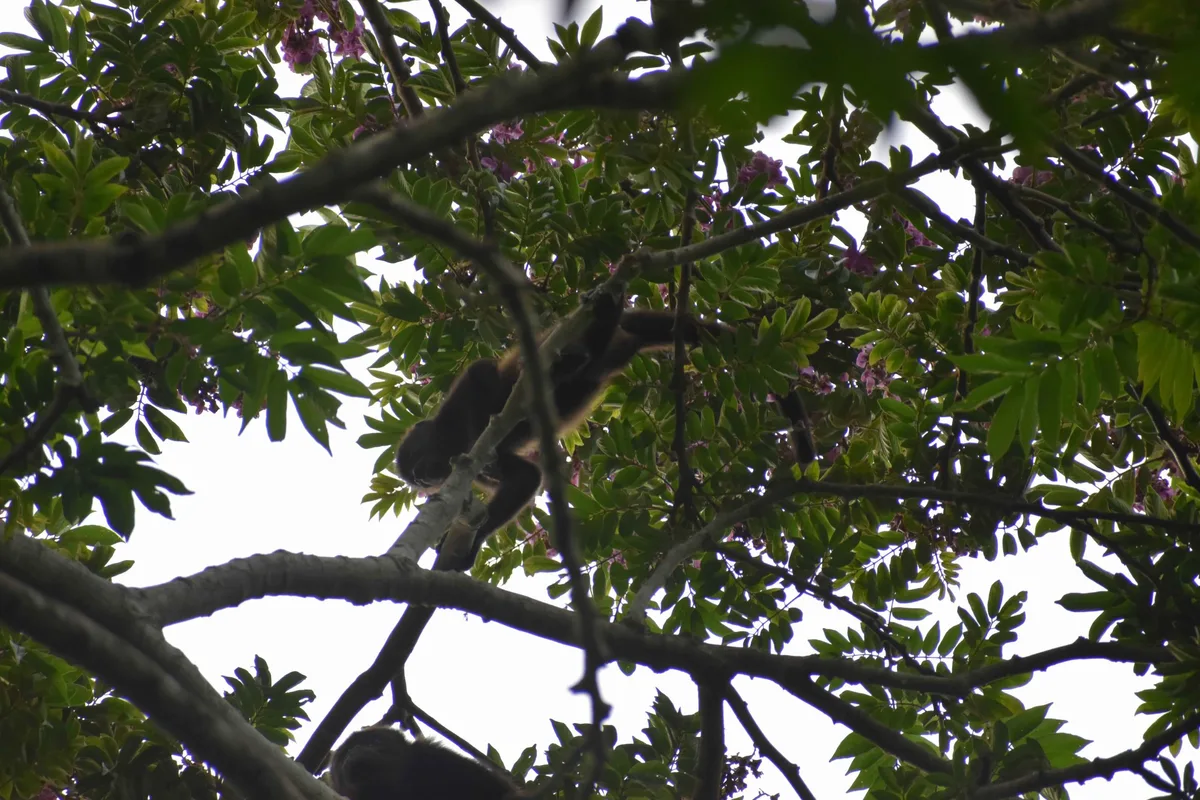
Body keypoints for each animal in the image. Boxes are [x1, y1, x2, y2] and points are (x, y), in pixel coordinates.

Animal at [396, 287, 732, 571]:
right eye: (417, 481)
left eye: (416, 464)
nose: (424, 479)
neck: (451, 437)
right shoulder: (472, 469)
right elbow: (524, 477)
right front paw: (471, 541)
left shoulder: (460, 400)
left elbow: (482, 375)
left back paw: (579, 346)